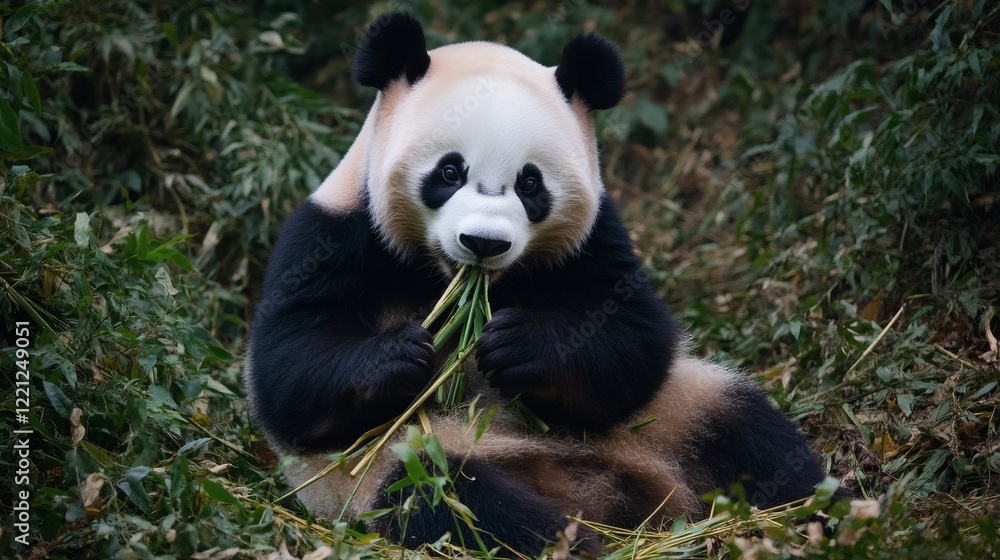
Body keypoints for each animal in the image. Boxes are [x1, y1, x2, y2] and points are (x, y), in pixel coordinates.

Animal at [245, 12, 833, 556]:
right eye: (449, 172)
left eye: (530, 183)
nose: (483, 243)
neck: (453, 280)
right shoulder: (332, 234)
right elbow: (289, 373)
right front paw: (403, 352)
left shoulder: (594, 239)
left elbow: (633, 341)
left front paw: (517, 344)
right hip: (394, 465)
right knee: (459, 503)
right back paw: (571, 540)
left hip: (673, 412)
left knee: (747, 432)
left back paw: (819, 513)